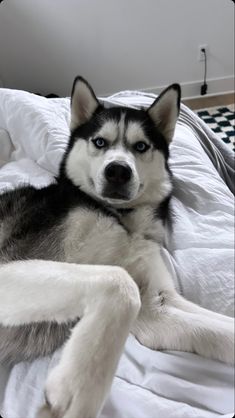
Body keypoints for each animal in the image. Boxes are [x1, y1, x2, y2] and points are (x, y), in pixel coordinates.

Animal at [0, 76, 233, 418]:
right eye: (100, 142)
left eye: (141, 146)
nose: (118, 170)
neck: (121, 219)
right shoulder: (15, 264)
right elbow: (118, 284)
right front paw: (78, 390)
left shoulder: (155, 306)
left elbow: (218, 327)